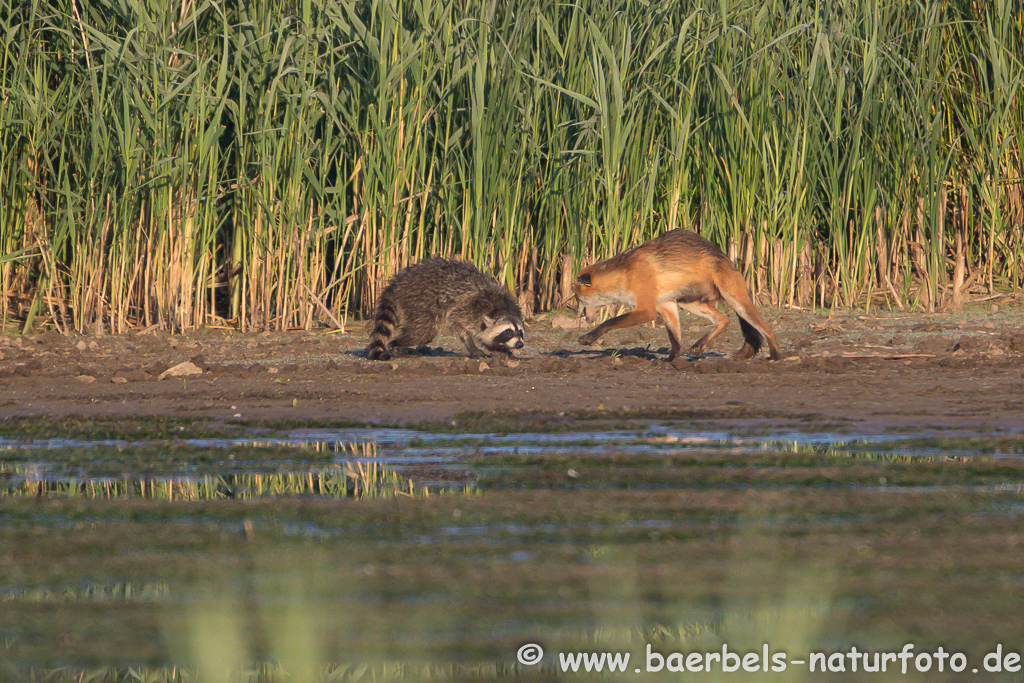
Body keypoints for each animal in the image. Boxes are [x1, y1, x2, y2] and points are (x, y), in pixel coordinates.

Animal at [366, 259, 528, 360]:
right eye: (508, 332)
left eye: (520, 332)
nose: (520, 344)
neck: (502, 308)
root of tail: (398, 283)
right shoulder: (468, 307)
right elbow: (459, 325)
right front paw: (472, 345)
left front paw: (503, 351)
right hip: (420, 299)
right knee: (422, 332)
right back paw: (395, 344)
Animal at [573, 229, 778, 360]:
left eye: (578, 297)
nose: (577, 314)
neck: (625, 274)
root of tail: (726, 258)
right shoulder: (666, 305)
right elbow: (675, 340)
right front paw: (670, 361)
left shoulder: (646, 309)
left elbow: (609, 322)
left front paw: (588, 338)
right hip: (689, 303)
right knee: (723, 320)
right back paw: (698, 347)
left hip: (737, 303)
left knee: (767, 330)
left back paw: (774, 357)